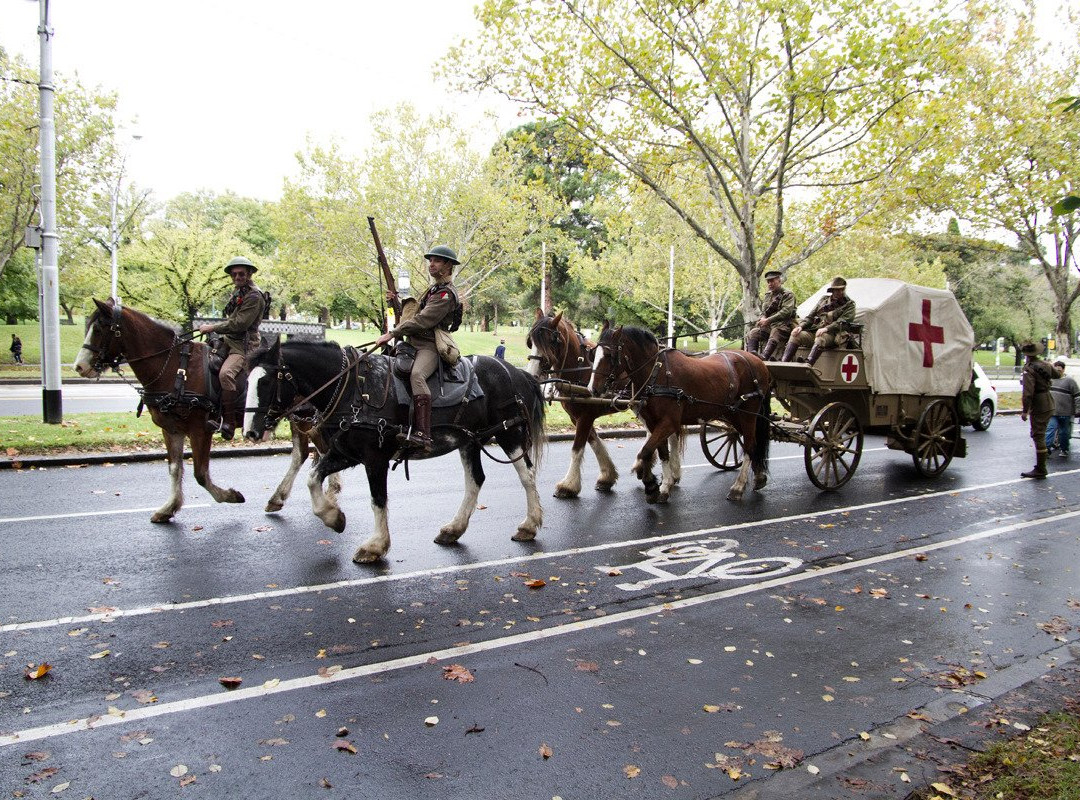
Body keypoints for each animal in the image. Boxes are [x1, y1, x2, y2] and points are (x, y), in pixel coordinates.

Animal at [247, 341, 544, 565]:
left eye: (266, 381)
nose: (250, 431)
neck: (353, 389)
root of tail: (517, 373)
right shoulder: (345, 454)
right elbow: (312, 478)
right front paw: (334, 517)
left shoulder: (374, 458)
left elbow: (378, 499)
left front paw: (375, 546)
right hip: (469, 440)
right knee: (475, 480)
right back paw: (454, 529)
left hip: (509, 433)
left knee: (527, 475)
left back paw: (529, 525)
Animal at [524, 308, 678, 496]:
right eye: (531, 342)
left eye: (551, 341)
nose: (532, 374)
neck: (580, 368)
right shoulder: (576, 418)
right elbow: (595, 443)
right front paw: (607, 476)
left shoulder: (585, 416)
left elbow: (577, 448)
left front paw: (568, 485)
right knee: (653, 431)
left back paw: (673, 472)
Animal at [587, 323, 773, 498]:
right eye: (593, 354)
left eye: (609, 355)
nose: (592, 389)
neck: (657, 372)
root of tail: (757, 361)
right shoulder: (654, 423)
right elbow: (662, 453)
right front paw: (664, 487)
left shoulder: (669, 423)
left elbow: (646, 451)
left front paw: (651, 484)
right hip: (733, 414)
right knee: (750, 441)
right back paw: (759, 477)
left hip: (748, 414)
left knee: (750, 445)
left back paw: (738, 487)